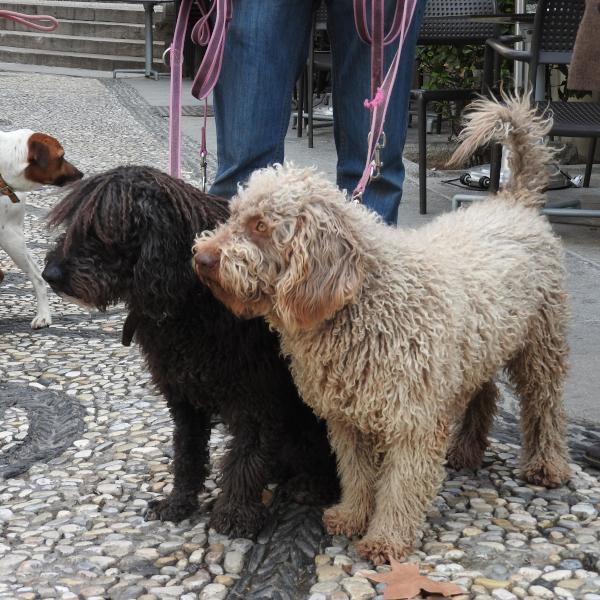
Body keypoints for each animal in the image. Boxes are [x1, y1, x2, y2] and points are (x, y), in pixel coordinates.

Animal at [42, 165, 338, 537]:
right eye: (72, 223)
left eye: (101, 229)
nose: (49, 274)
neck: (192, 297)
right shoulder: (182, 395)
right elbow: (188, 452)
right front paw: (179, 502)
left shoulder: (257, 397)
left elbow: (247, 456)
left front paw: (235, 513)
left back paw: (308, 485)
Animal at [192, 95, 572, 564]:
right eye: (233, 215)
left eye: (261, 226)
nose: (202, 258)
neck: (365, 303)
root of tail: (514, 201)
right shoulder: (346, 419)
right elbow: (357, 474)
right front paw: (352, 516)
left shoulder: (414, 421)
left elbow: (401, 486)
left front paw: (386, 539)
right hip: (476, 349)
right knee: (485, 394)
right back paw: (466, 450)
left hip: (541, 345)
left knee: (545, 406)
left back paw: (546, 465)